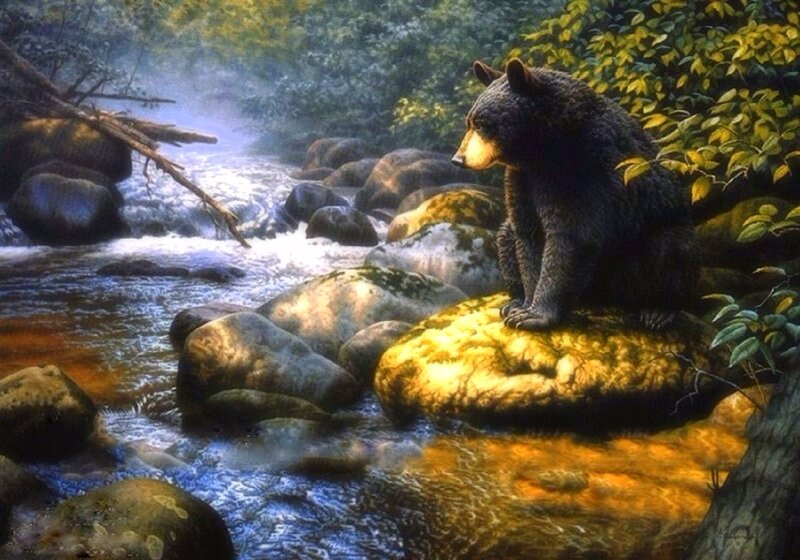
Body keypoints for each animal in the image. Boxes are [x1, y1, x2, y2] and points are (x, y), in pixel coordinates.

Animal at [451, 58, 697, 331]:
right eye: (469, 122)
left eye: (482, 123)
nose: (458, 159)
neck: (542, 147)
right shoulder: (522, 178)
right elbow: (528, 233)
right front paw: (524, 307)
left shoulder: (583, 168)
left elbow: (573, 237)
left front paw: (535, 315)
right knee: (505, 236)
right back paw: (513, 300)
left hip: (655, 236)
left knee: (665, 249)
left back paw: (657, 310)